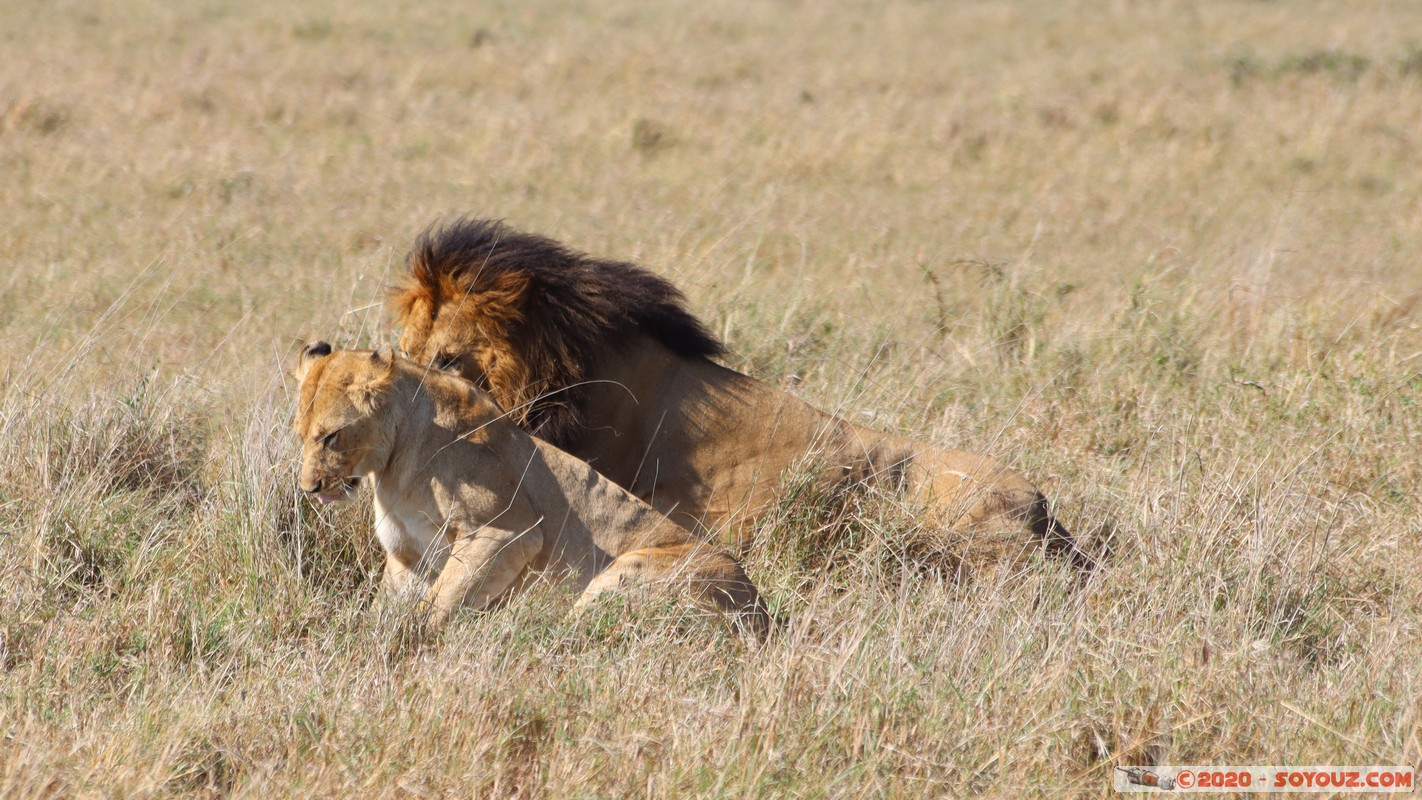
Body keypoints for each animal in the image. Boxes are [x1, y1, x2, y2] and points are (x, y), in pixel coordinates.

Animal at [290, 341, 773, 636]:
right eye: (300, 435)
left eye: (330, 437)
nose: (311, 488)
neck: (394, 463)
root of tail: (762, 617)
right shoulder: (407, 554)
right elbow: (387, 608)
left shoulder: (506, 532)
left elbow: (439, 602)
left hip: (629, 572)